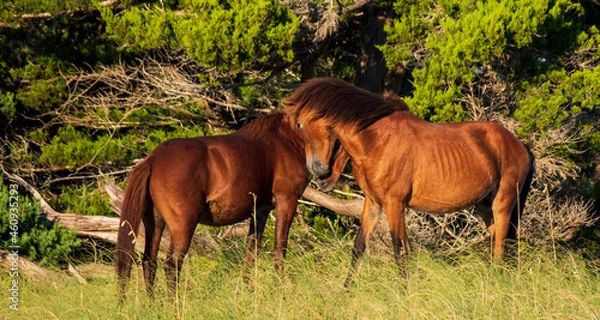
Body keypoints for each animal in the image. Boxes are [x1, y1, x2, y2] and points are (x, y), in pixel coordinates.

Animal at [115, 112, 344, 298]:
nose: (325, 176)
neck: (288, 139)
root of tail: (152, 160)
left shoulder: (260, 210)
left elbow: (252, 251)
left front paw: (248, 290)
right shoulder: (287, 201)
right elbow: (280, 248)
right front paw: (281, 291)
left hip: (155, 222)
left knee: (149, 262)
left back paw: (153, 305)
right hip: (182, 226)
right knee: (171, 264)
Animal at [284, 77, 536, 284]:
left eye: (300, 125)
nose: (319, 171)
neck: (377, 140)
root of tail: (519, 145)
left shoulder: (395, 204)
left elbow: (400, 250)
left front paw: (405, 295)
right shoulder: (373, 204)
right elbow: (359, 247)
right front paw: (346, 292)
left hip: (503, 204)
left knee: (501, 248)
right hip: (485, 208)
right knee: (496, 244)